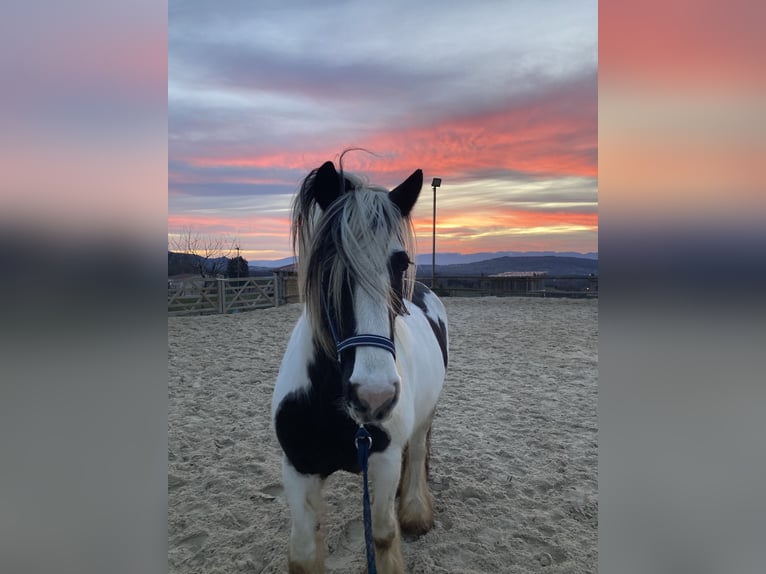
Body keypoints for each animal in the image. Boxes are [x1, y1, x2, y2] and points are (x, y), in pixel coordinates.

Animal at [272, 159, 450, 574]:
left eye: (401, 263)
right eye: (328, 263)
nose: (375, 396)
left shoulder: (383, 460)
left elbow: (383, 535)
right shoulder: (298, 469)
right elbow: (303, 553)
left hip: (425, 416)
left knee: (418, 451)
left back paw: (415, 511)